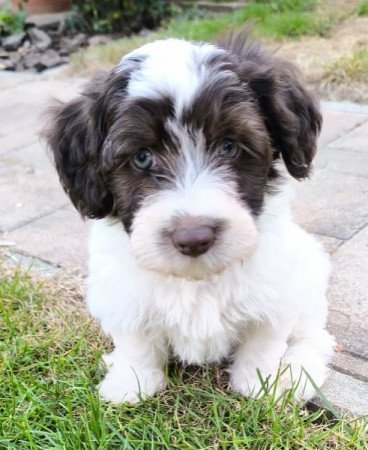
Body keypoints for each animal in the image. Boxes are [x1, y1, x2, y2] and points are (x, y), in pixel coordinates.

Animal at [44, 31, 334, 404]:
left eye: (229, 147)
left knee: (314, 334)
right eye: (141, 157)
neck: (195, 280)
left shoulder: (277, 289)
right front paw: (131, 383)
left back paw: (299, 369)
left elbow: (264, 339)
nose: (193, 237)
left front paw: (259, 384)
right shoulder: (122, 292)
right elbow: (136, 340)